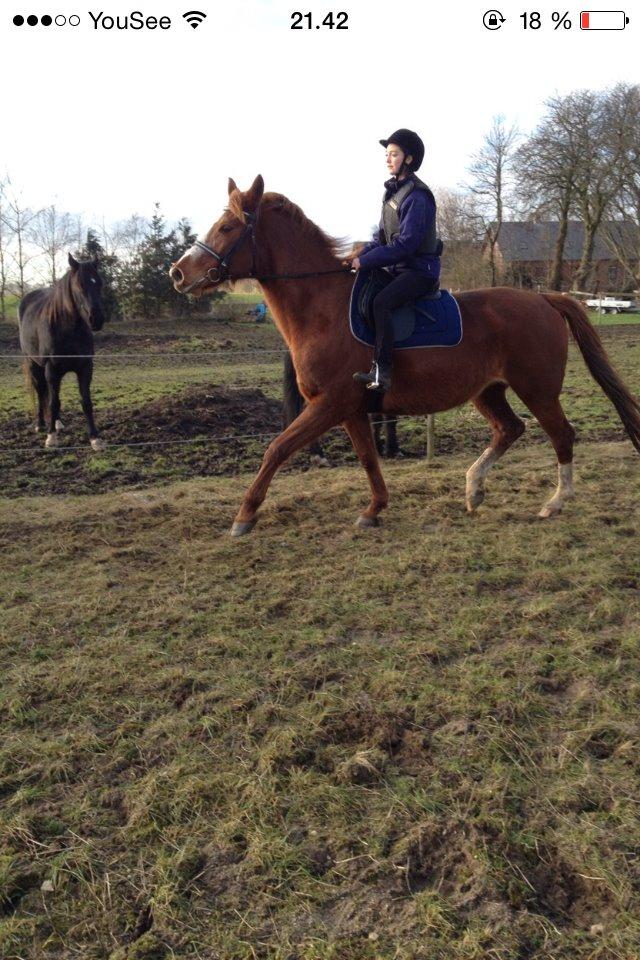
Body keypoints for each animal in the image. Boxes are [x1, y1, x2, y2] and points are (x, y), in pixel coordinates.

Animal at [169, 176, 640, 536]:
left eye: (227, 227)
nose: (178, 273)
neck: (323, 308)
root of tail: (544, 298)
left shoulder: (329, 405)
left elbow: (276, 449)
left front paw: (244, 516)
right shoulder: (351, 409)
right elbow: (367, 458)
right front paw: (374, 509)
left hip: (537, 389)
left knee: (562, 435)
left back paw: (555, 502)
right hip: (488, 391)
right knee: (510, 429)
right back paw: (473, 488)